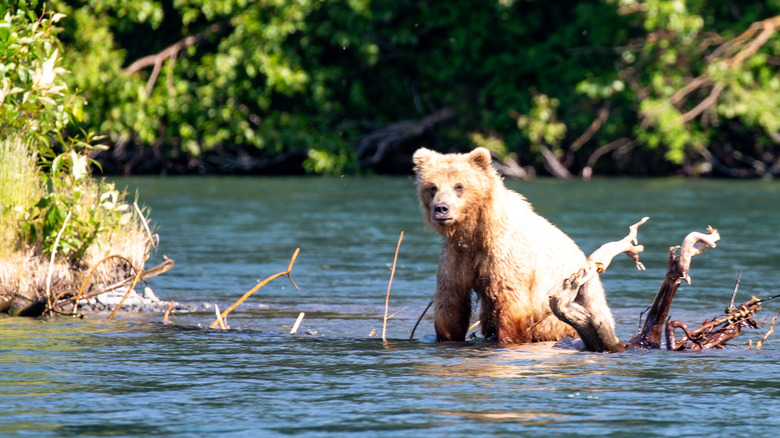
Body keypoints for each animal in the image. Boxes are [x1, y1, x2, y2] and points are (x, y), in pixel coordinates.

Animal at [413, 146, 605, 344]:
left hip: (566, 313)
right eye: (432, 187)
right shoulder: (456, 256)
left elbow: (509, 300)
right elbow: (451, 298)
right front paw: (447, 336)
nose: (441, 208)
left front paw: (506, 338)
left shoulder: (505, 254)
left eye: (459, 186)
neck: (476, 234)